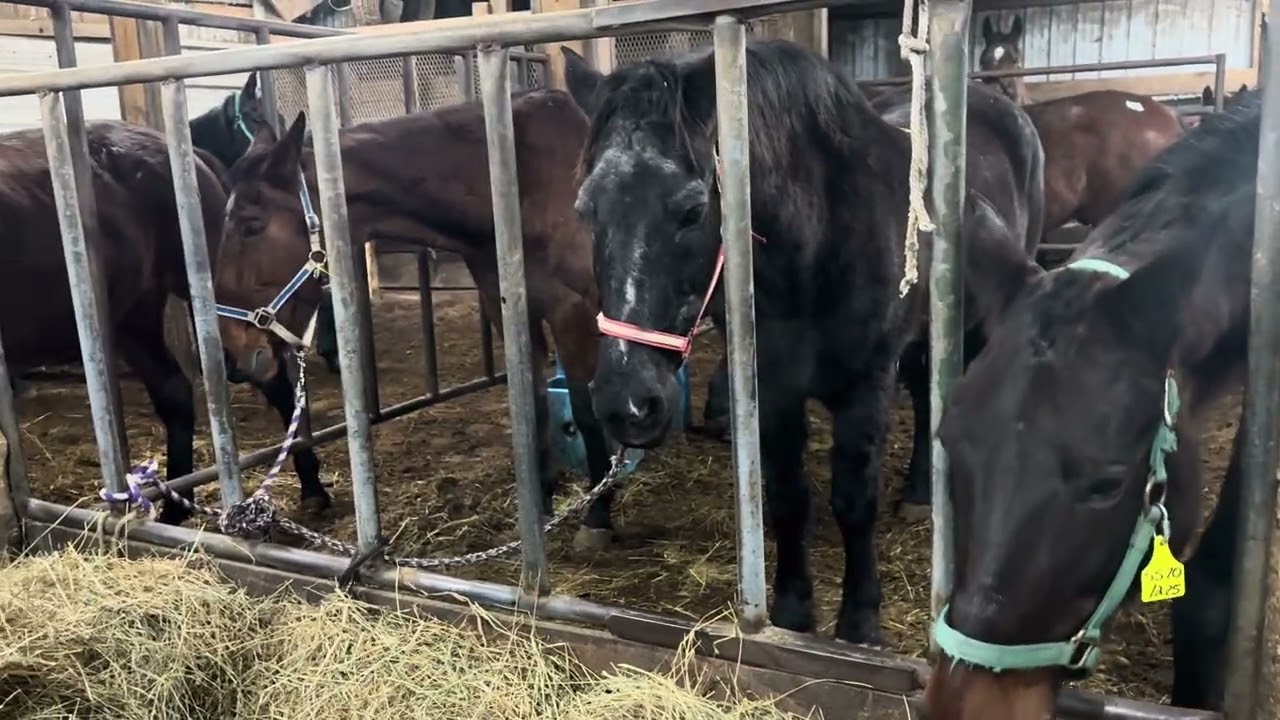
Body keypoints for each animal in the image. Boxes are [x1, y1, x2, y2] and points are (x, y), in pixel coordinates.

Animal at [212, 88, 624, 551]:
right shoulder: (506, 305)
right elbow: (531, 400)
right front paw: (543, 499)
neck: (525, 188)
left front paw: (597, 513)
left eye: (252, 226)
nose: (233, 355)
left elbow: (586, 408)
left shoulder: (574, 311)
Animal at [563, 38, 1043, 644]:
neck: (818, 245)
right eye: (586, 210)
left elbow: (854, 501)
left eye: (692, 210)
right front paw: (793, 616)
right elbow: (789, 497)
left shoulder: (867, 385)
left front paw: (859, 622)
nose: (626, 404)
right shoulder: (773, 388)